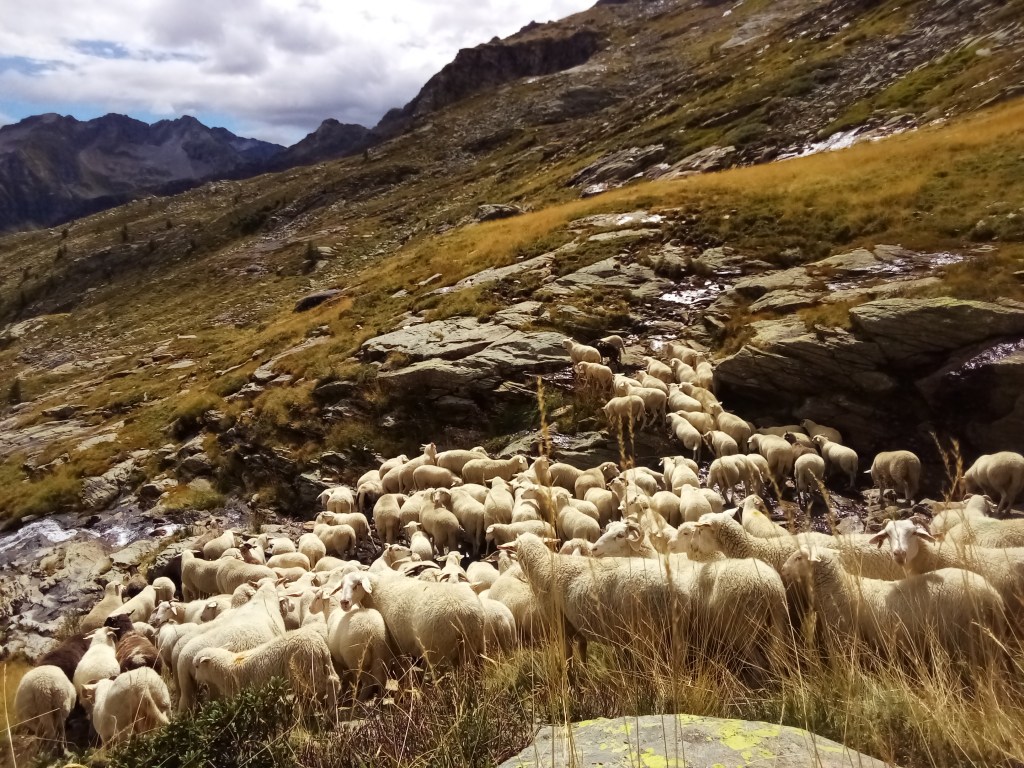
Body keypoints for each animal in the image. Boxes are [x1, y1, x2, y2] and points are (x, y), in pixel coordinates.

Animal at [337, 571, 485, 668]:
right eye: (342, 585)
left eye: (357, 585)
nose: (344, 602)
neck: (377, 590)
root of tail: (464, 613)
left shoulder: (396, 644)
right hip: (475, 646)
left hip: (438, 652)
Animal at [781, 545, 1005, 662]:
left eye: (799, 557)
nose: (783, 569)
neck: (840, 587)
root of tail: (995, 595)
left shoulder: (845, 638)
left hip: (966, 638)